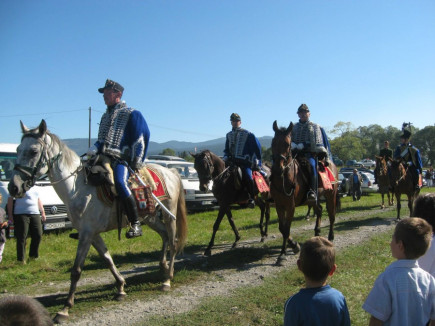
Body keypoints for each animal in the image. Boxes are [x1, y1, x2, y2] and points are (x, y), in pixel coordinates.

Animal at [8, 120, 188, 324]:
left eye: (33, 151)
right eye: (18, 149)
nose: (14, 187)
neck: (77, 188)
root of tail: (171, 171)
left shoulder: (86, 235)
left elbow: (76, 270)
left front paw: (65, 309)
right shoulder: (92, 235)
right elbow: (107, 259)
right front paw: (120, 288)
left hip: (169, 214)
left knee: (173, 241)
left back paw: (167, 279)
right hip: (148, 217)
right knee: (164, 235)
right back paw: (162, 266)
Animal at [270, 121, 340, 266]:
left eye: (287, 144)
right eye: (273, 142)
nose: (278, 169)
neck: (284, 178)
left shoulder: (290, 206)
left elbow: (286, 229)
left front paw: (283, 254)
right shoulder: (279, 205)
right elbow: (282, 228)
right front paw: (293, 246)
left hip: (331, 195)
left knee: (331, 214)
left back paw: (330, 236)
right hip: (313, 200)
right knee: (319, 210)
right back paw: (317, 233)